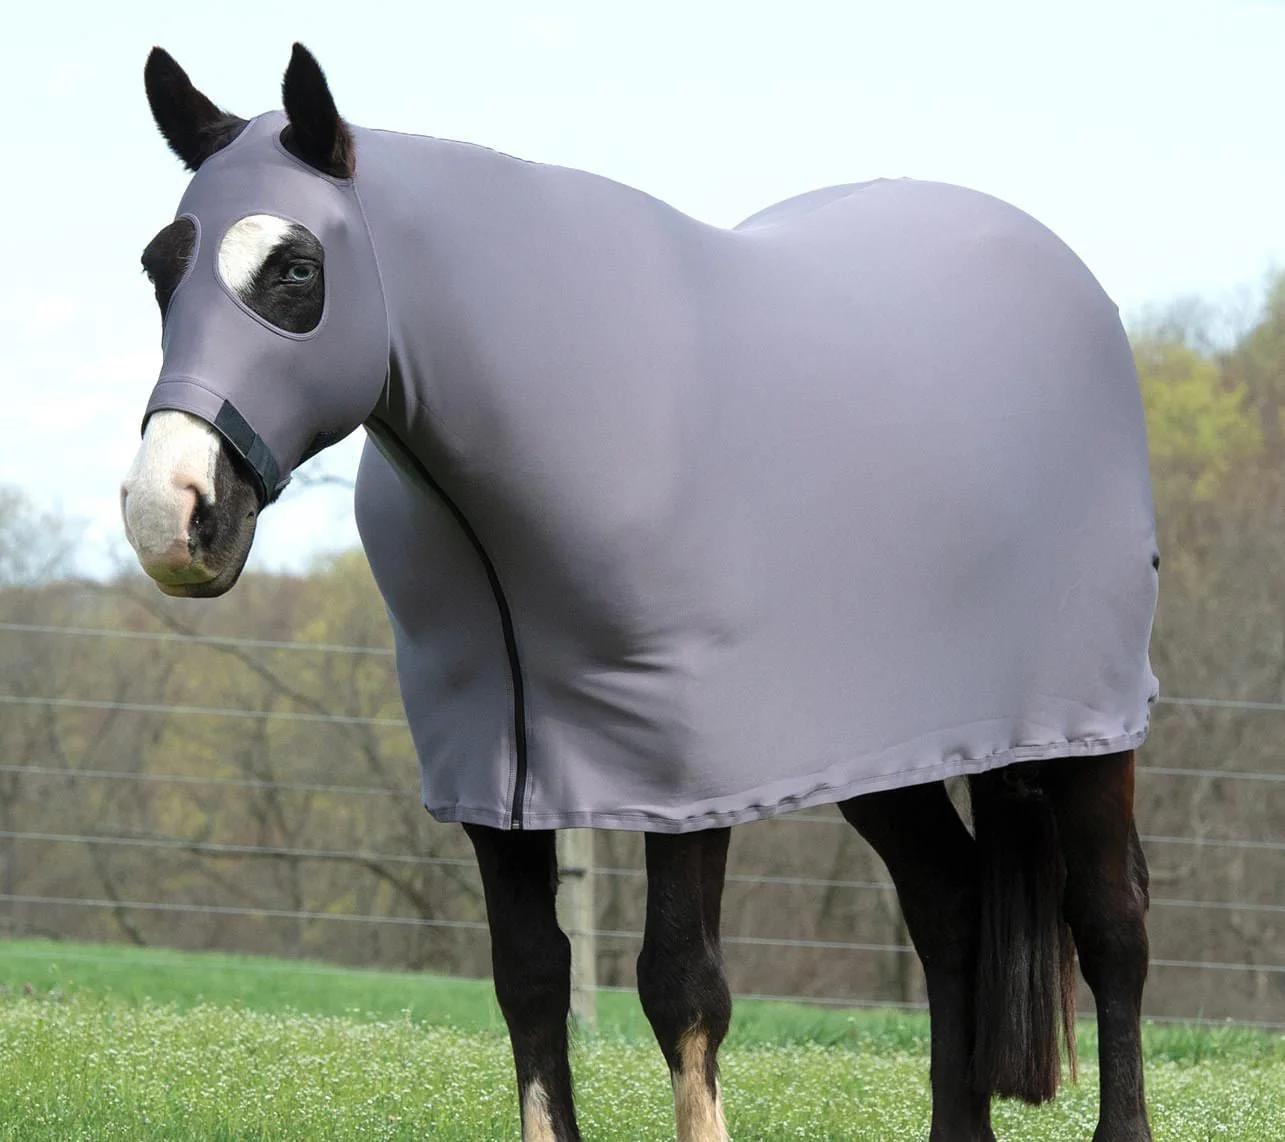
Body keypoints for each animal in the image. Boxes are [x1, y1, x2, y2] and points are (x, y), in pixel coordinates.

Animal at [121, 45, 1158, 1142]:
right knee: (951, 905)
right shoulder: (493, 779)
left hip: (1087, 733)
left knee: (1111, 920)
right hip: (893, 759)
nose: (169, 512)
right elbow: (530, 980)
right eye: (158, 268)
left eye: (296, 269)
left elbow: (681, 988)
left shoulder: (687, 781)